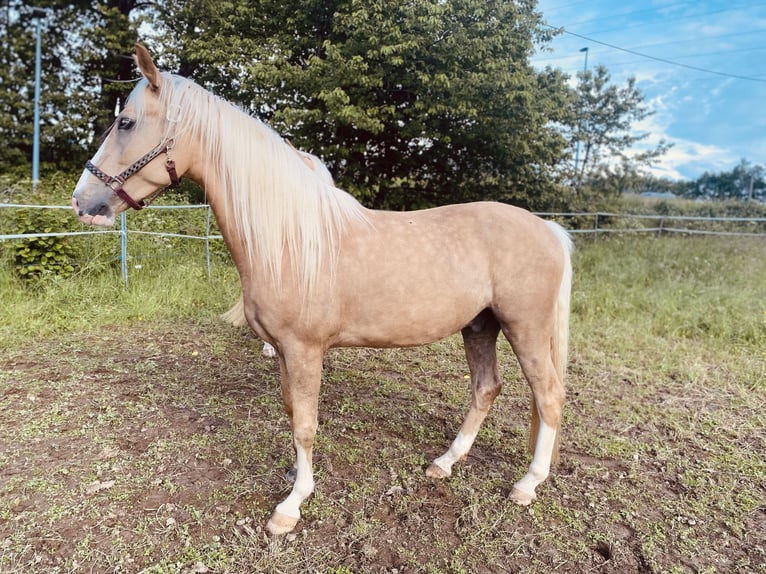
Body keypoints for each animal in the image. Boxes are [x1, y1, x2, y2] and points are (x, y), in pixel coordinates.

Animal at [73, 44, 576, 536]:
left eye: (126, 122)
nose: (82, 202)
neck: (290, 240)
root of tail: (549, 230)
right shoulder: (282, 350)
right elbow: (291, 412)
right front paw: (296, 478)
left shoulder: (304, 350)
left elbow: (306, 425)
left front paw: (291, 506)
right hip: (480, 326)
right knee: (486, 389)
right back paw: (445, 463)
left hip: (524, 327)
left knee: (549, 395)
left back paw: (527, 484)